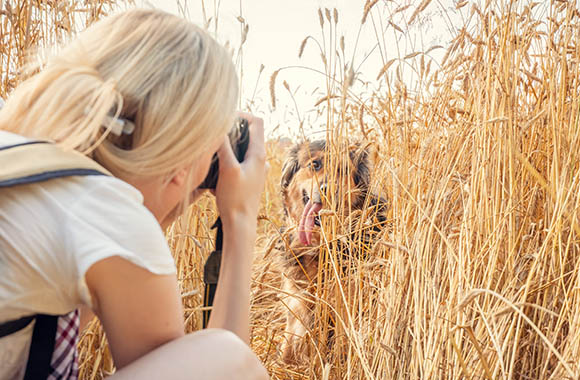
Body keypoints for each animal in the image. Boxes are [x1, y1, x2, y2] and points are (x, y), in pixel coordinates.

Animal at [276, 139, 386, 362]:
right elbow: (287, 348)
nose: (327, 189)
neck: (321, 244)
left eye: (343, 170)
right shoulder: (296, 302)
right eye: (315, 164)